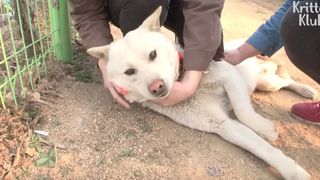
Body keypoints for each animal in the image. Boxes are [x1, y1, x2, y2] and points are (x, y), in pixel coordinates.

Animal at [86, 6, 316, 179]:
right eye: (129, 72)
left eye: (152, 54)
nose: (157, 87)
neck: (186, 80)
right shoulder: (222, 125)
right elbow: (260, 148)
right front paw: (293, 171)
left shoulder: (230, 76)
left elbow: (243, 112)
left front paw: (265, 129)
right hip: (265, 83)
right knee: (283, 81)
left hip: (267, 82)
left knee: (286, 80)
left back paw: (307, 90)